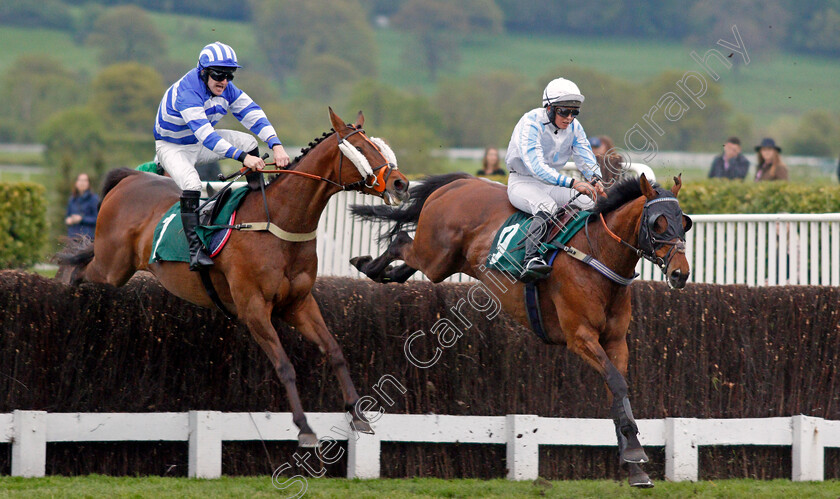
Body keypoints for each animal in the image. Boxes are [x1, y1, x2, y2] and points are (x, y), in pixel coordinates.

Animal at [57, 107, 412, 448]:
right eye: (362, 149)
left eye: (380, 146)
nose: (401, 184)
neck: (278, 222)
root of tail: (130, 178)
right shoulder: (253, 308)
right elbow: (285, 366)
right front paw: (304, 427)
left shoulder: (298, 304)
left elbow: (335, 352)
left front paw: (358, 415)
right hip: (112, 266)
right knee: (81, 267)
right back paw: (65, 285)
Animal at [352, 173, 692, 488]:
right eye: (658, 223)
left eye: (684, 223)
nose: (681, 273)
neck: (597, 256)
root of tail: (461, 181)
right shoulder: (580, 337)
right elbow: (618, 385)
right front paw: (634, 454)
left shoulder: (616, 341)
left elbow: (617, 392)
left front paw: (635, 466)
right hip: (435, 255)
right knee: (400, 241)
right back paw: (366, 263)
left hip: (443, 263)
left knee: (404, 262)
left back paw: (379, 270)